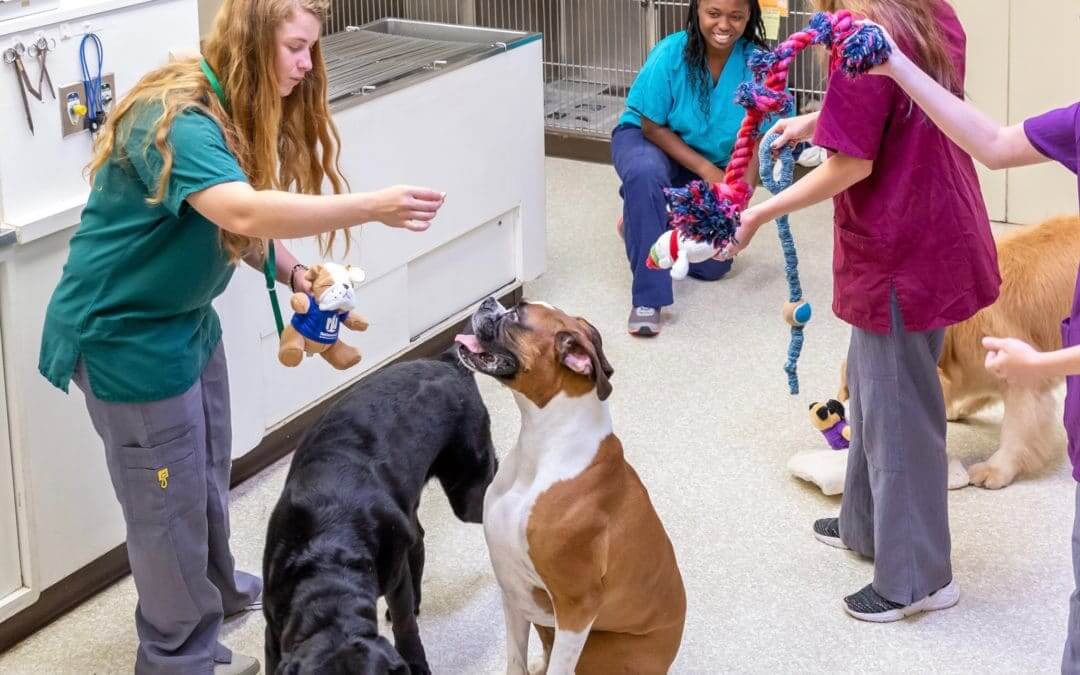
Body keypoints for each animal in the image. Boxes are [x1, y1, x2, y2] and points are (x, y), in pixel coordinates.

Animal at [261, 349, 496, 669]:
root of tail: (449, 362)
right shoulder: (272, 630)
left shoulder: (395, 579)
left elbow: (404, 624)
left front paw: (415, 662)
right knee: (418, 539)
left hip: (468, 491)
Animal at [455, 298, 682, 669]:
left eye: (517, 314)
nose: (488, 301)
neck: (541, 449)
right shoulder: (513, 593)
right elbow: (515, 660)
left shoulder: (577, 608)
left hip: (599, 648)